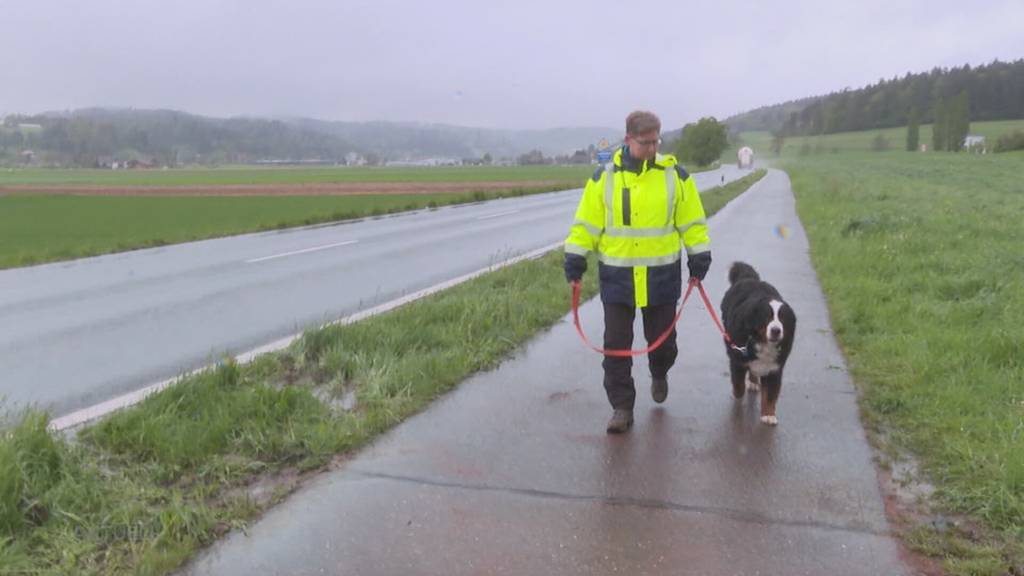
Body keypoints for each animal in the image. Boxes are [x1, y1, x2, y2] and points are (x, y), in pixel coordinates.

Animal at [716, 262, 794, 424]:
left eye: (783, 319)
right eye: (767, 317)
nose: (776, 330)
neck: (762, 343)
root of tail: (749, 278)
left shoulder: (774, 369)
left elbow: (770, 394)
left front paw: (769, 415)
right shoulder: (738, 360)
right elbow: (738, 384)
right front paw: (737, 393)